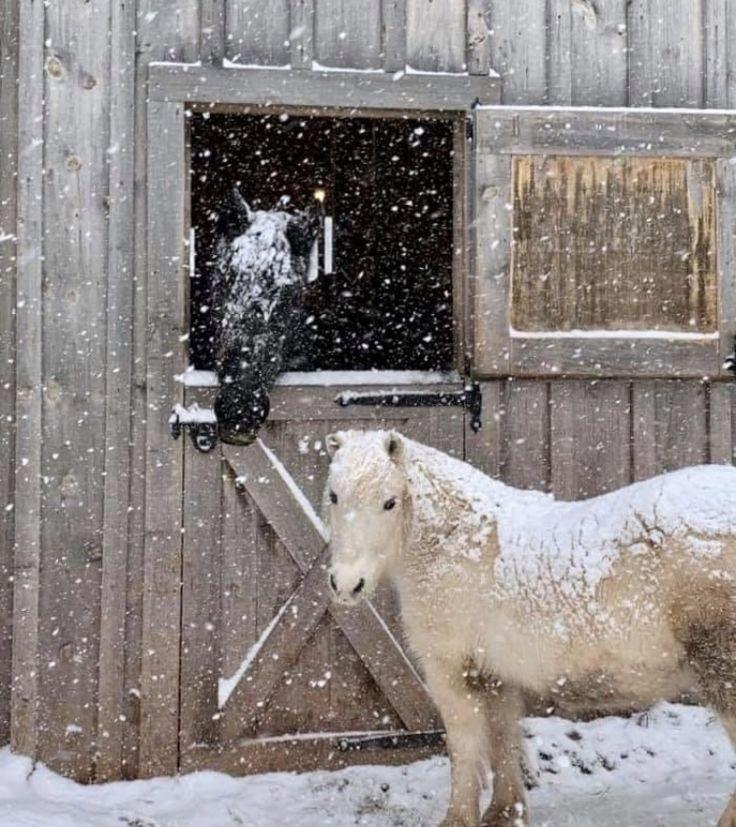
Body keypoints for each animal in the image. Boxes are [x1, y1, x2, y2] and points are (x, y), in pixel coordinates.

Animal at [324, 430, 736, 824]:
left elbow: (465, 746)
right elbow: (503, 737)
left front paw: (458, 818)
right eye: (333, 496)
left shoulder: (451, 673)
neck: (455, 542)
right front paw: (505, 812)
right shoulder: (493, 674)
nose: (346, 585)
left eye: (390, 502)